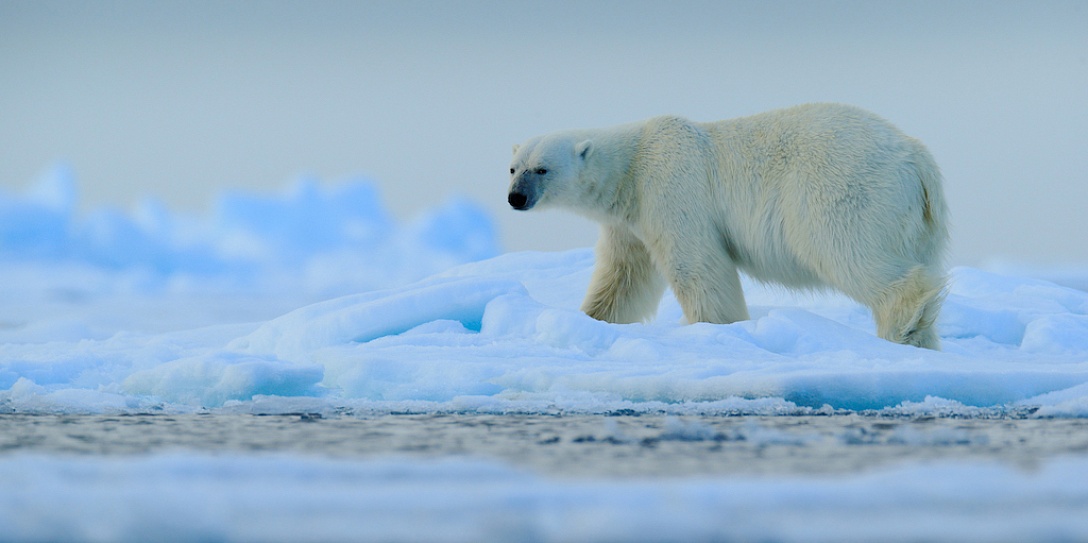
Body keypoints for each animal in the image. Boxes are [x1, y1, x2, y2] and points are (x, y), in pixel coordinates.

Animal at [504, 103, 948, 350]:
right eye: (513, 168)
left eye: (541, 169)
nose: (515, 198)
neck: (632, 164)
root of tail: (916, 156)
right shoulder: (628, 221)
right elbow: (625, 277)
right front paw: (591, 320)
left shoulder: (670, 187)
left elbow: (696, 265)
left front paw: (717, 328)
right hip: (917, 219)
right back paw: (922, 337)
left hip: (843, 188)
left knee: (848, 249)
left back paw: (900, 326)